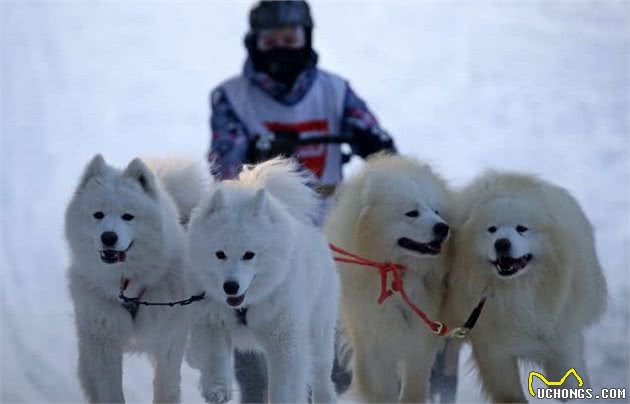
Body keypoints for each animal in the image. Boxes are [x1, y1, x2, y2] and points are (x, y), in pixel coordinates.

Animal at [65, 154, 207, 400]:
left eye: (128, 216)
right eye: (98, 214)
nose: (108, 237)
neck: (126, 284)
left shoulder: (169, 336)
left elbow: (166, 385)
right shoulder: (104, 336)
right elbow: (110, 390)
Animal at [186, 159, 340, 404]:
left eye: (249, 255)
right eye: (219, 254)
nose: (230, 286)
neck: (246, 304)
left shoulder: (285, 337)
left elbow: (285, 384)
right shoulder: (211, 321)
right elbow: (215, 359)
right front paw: (217, 390)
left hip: (319, 332)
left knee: (321, 377)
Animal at [326, 153, 454, 402]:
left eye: (436, 211)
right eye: (412, 213)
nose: (443, 228)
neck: (400, 274)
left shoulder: (421, 337)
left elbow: (414, 387)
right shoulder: (375, 337)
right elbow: (382, 388)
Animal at [446, 171, 608, 404]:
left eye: (521, 229)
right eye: (491, 230)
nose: (502, 243)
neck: (517, 291)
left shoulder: (562, 341)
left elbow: (571, 383)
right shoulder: (493, 350)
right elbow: (510, 393)